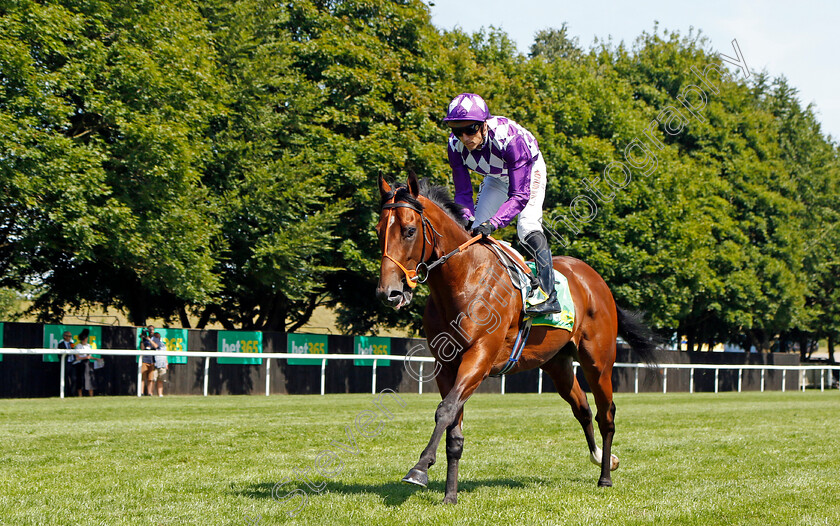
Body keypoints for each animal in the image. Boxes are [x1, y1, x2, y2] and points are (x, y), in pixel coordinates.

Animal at [378, 174, 660, 508]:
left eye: (409, 231)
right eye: (379, 230)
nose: (389, 293)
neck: (464, 281)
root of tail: (594, 278)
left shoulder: (480, 357)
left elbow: (444, 411)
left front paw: (420, 469)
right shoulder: (446, 366)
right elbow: (453, 428)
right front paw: (450, 495)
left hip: (599, 361)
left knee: (607, 415)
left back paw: (605, 476)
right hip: (557, 364)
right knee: (582, 408)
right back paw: (602, 457)